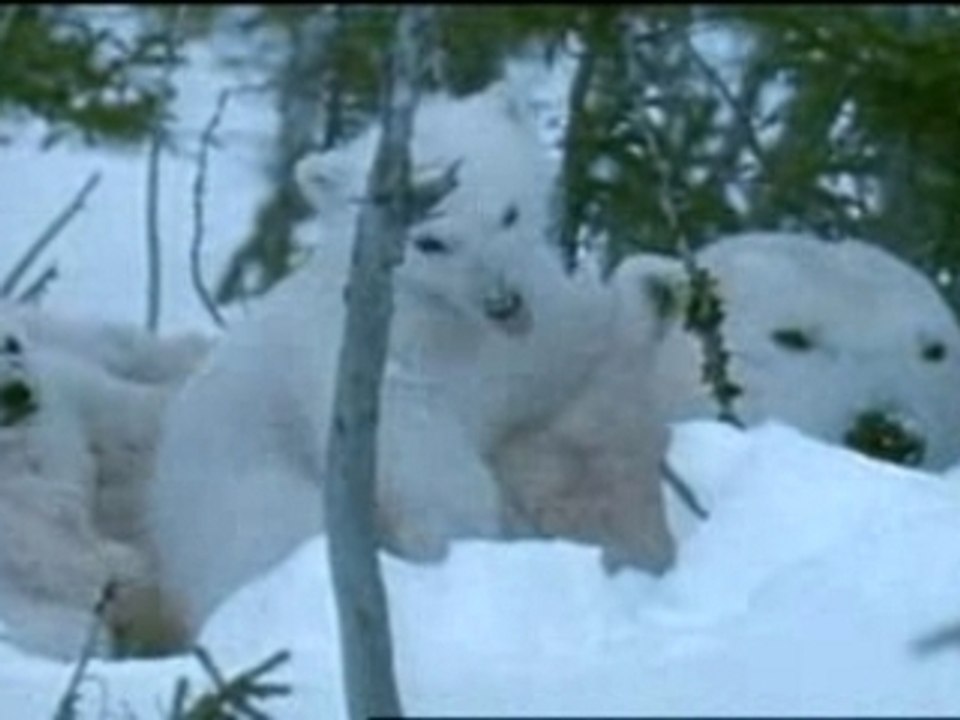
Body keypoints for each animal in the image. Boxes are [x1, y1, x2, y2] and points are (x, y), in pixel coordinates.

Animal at [147, 84, 616, 637]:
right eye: (430, 241)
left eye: (509, 213)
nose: (502, 301)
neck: (447, 321)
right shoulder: (371, 363)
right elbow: (419, 446)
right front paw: (472, 531)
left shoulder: (537, 334)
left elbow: (569, 356)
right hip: (238, 494)